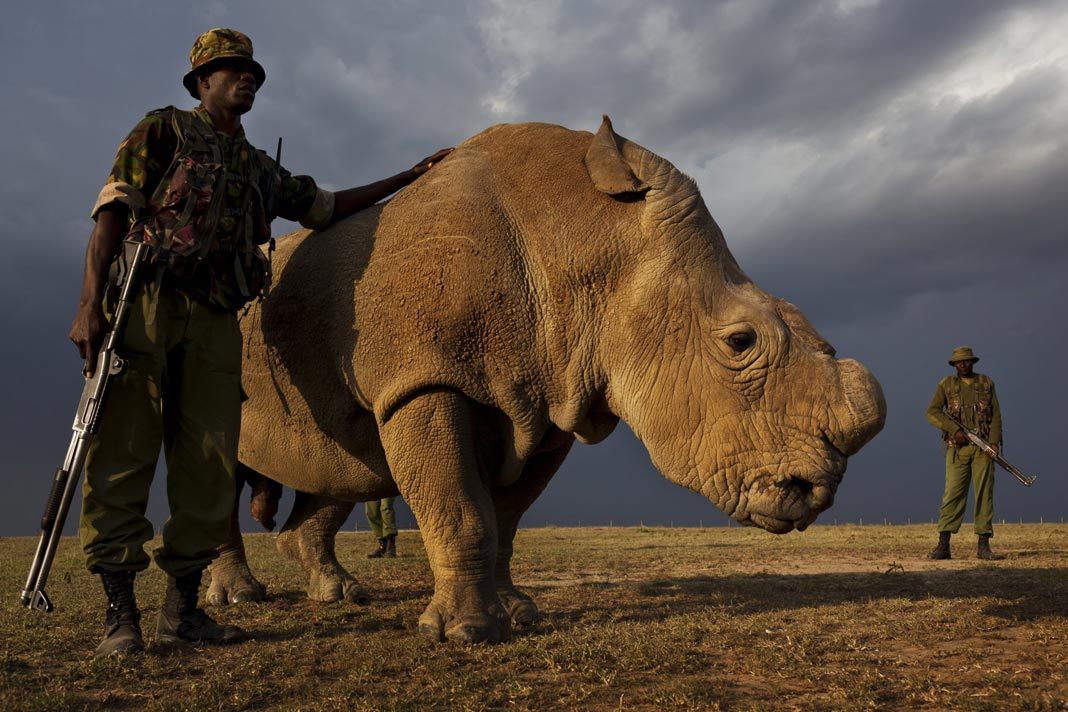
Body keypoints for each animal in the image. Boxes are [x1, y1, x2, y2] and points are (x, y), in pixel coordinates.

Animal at [208, 117, 886, 644]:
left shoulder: (553, 399)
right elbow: (462, 508)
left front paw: (518, 615)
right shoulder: (425, 380)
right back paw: (239, 599)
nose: (816, 492)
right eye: (739, 342)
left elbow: (504, 518)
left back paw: (338, 593)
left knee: (339, 464)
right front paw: (464, 634)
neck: (586, 237)